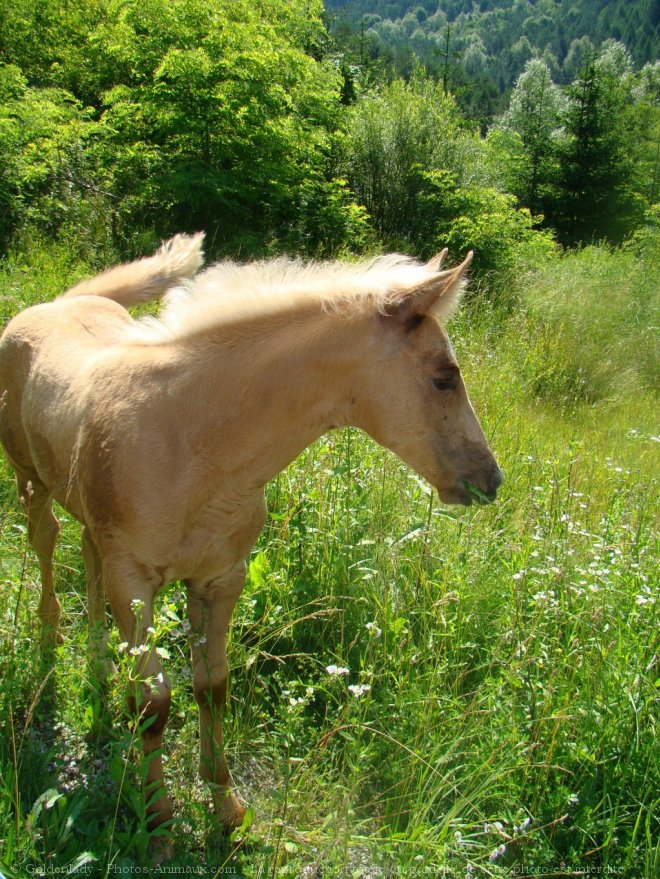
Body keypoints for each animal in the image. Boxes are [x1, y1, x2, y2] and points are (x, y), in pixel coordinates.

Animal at [0, 234, 500, 840]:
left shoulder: (220, 578)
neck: (192, 440)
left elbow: (212, 689)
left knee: (86, 556)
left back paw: (99, 673)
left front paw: (226, 807)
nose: (489, 479)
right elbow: (153, 702)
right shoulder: (134, 580)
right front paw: (159, 815)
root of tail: (58, 303)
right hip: (30, 481)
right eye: (445, 375)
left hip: (90, 517)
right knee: (46, 543)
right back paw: (51, 640)